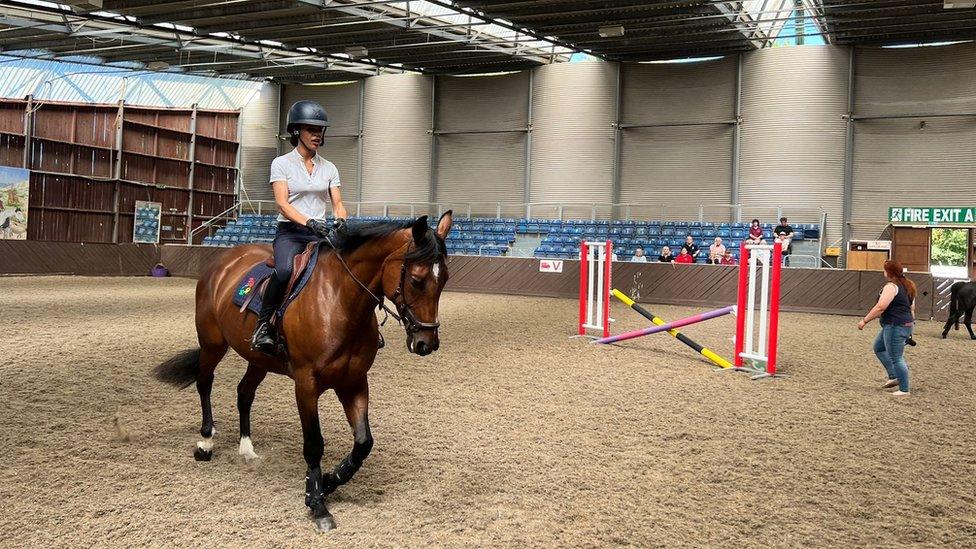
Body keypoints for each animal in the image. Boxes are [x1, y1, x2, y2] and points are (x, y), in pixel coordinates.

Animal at [155, 212, 454, 528]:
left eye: (445, 279)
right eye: (417, 280)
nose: (426, 343)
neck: (339, 302)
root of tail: (224, 261)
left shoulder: (354, 382)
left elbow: (363, 443)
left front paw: (330, 480)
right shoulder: (306, 384)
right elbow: (313, 444)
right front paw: (317, 503)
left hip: (258, 360)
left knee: (244, 393)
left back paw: (247, 448)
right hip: (213, 344)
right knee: (205, 382)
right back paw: (205, 442)